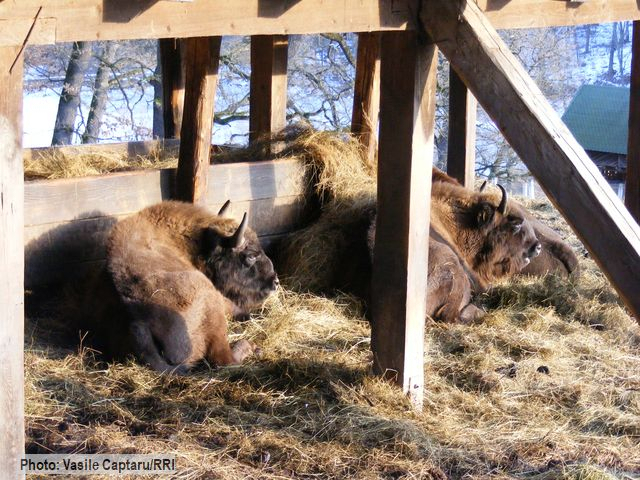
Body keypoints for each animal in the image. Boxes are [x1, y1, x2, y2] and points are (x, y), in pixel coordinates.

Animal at [77, 201, 278, 374]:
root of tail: (136, 322)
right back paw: (252, 347)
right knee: (223, 360)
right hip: (210, 300)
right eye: (250, 256)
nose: (275, 282)